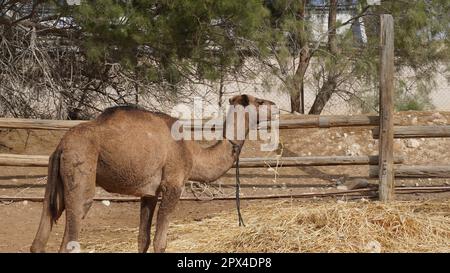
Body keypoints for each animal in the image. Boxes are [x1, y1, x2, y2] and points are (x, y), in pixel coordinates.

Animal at [30, 94, 274, 252]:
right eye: (260, 101)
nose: (275, 106)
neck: (192, 153)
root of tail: (61, 146)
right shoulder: (173, 185)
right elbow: (160, 242)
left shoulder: (149, 193)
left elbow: (143, 239)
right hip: (80, 175)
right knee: (69, 242)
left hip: (54, 181)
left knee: (39, 240)